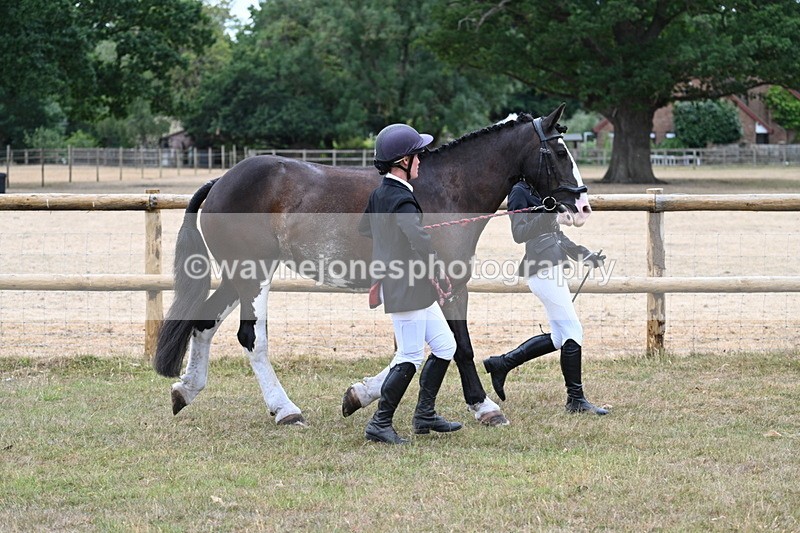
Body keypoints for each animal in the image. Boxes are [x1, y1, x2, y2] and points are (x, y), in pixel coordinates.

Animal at [153, 103, 592, 427]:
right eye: (558, 151)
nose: (583, 205)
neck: (443, 189)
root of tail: (221, 181)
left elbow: (413, 351)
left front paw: (358, 395)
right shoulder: (449, 285)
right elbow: (459, 347)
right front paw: (484, 406)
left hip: (238, 276)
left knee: (204, 323)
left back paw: (185, 390)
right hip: (253, 275)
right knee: (252, 339)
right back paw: (285, 410)